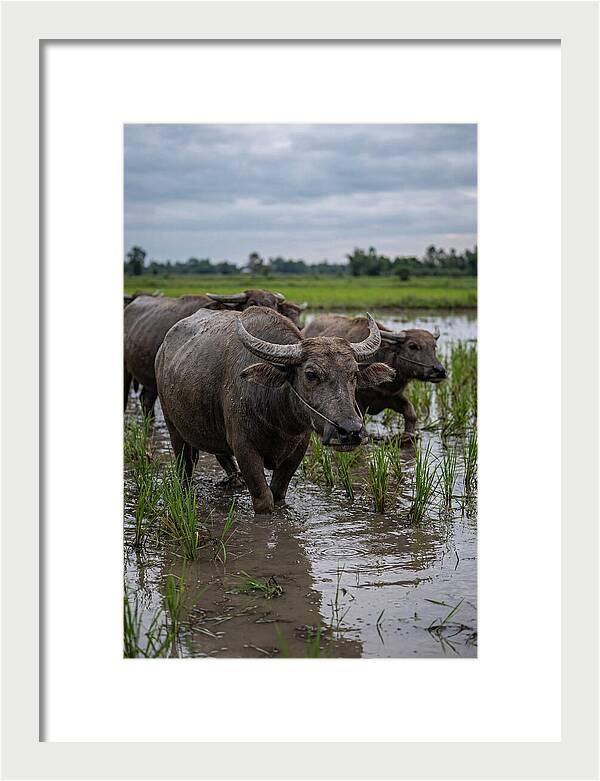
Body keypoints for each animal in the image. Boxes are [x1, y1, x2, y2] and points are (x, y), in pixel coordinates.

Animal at [155, 306, 395, 513]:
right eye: (311, 374)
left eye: (354, 374)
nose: (350, 431)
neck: (279, 419)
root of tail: (162, 350)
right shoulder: (244, 448)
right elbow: (264, 500)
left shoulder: (297, 450)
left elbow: (278, 493)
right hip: (173, 426)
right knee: (185, 467)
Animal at [303, 314, 446, 441]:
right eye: (413, 346)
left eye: (434, 346)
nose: (439, 370)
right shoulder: (357, 402)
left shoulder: (392, 396)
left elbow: (411, 413)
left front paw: (408, 436)